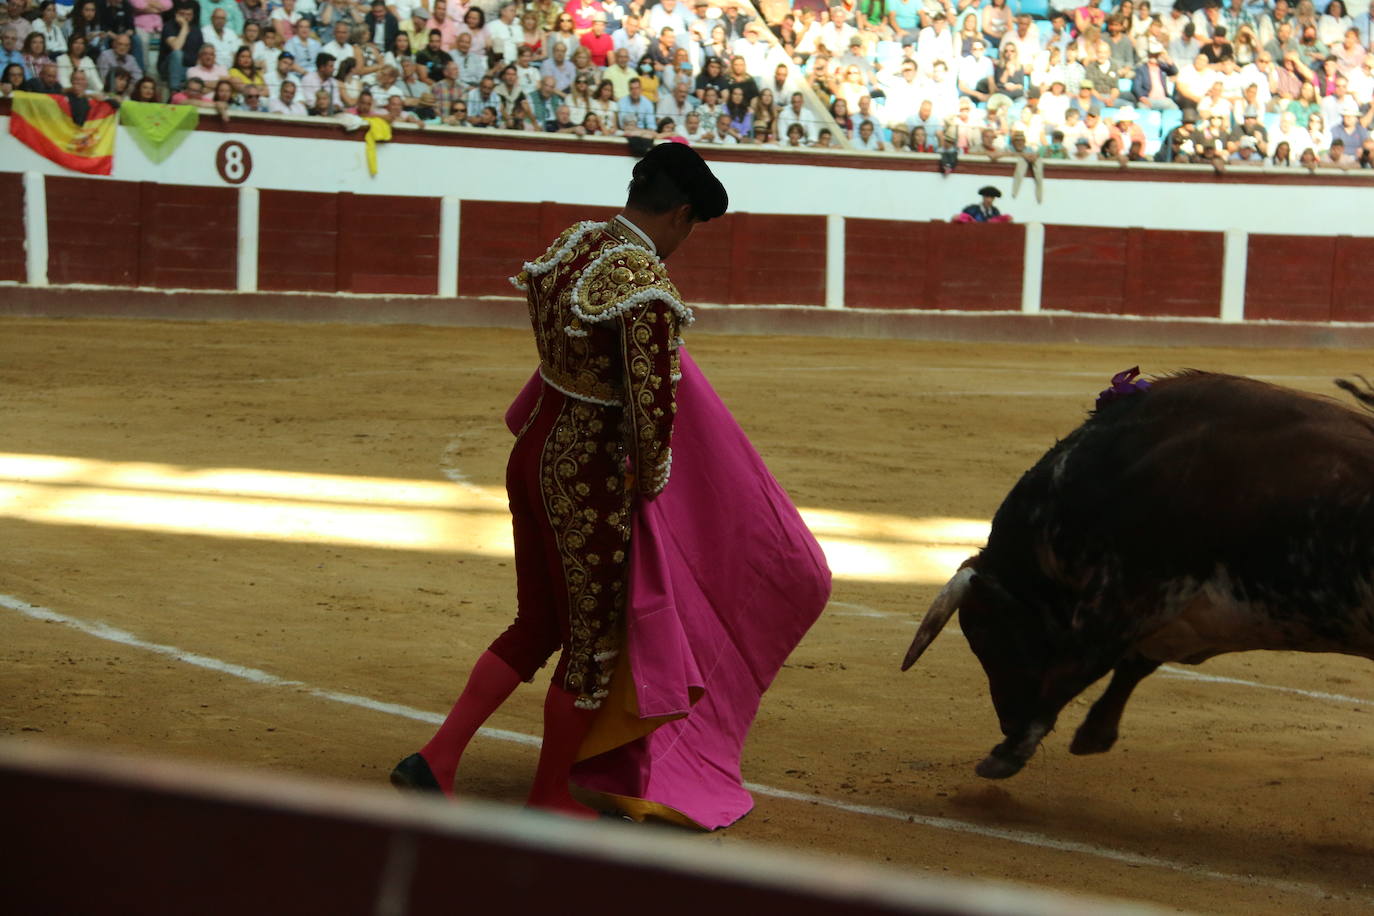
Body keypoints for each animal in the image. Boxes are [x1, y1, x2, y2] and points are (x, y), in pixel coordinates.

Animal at [901, 373, 1374, 780]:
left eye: (983, 633)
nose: (1008, 720)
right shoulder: (1173, 613)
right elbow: (1132, 665)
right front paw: (1092, 735)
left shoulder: (1127, 594)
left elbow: (1077, 667)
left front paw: (1008, 753)